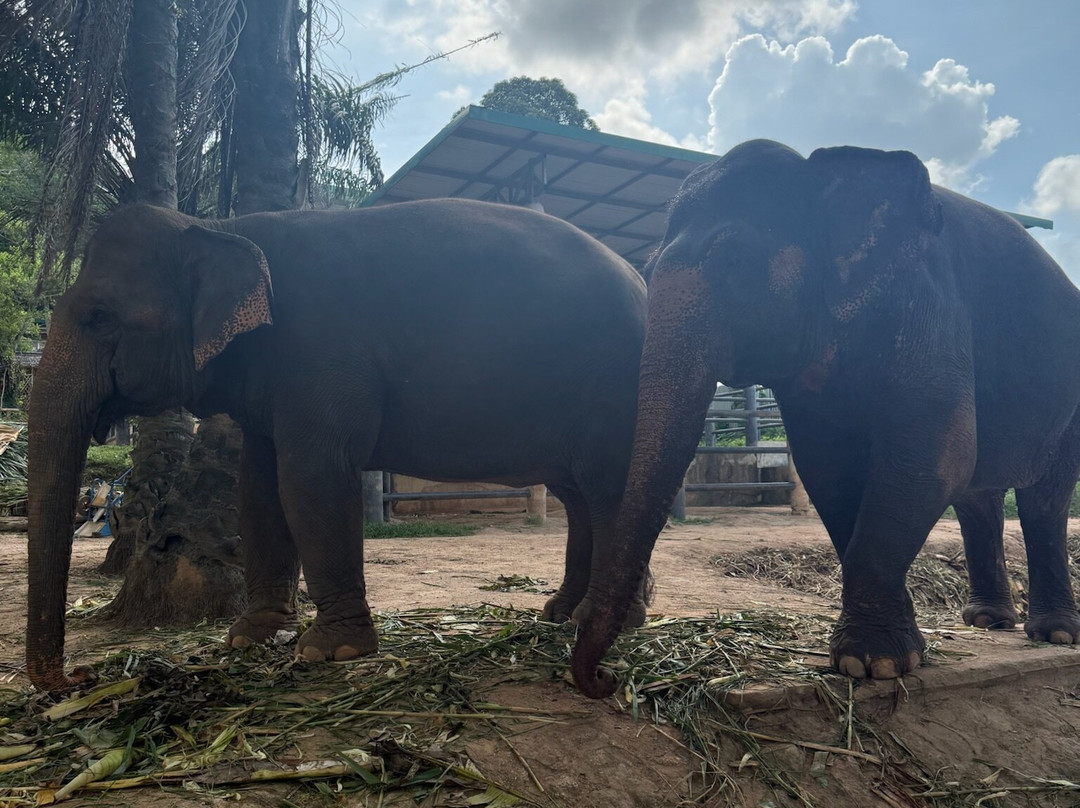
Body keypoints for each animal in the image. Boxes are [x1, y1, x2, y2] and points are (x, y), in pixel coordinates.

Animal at [26, 198, 648, 692]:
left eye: (99, 316)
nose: (78, 677)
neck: (221, 226)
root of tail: (641, 279)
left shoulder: (319, 353)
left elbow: (312, 478)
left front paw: (332, 652)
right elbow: (258, 487)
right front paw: (248, 637)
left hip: (614, 388)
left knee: (610, 491)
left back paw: (612, 620)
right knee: (582, 498)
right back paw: (563, 613)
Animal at [571, 138, 1080, 698]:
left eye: (735, 263)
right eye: (648, 267)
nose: (604, 678)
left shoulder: (930, 304)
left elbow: (935, 454)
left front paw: (874, 663)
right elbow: (829, 470)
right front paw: (887, 655)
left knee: (1044, 498)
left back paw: (1054, 633)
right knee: (979, 496)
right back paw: (988, 621)